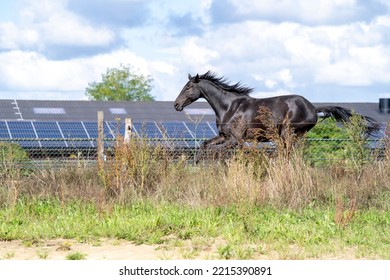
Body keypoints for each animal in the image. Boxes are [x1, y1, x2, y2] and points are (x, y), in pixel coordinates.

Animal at [174, 71, 380, 155]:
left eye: (188, 87)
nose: (176, 105)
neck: (229, 106)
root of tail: (313, 108)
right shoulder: (224, 137)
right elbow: (204, 147)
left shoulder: (235, 139)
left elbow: (220, 153)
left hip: (287, 134)